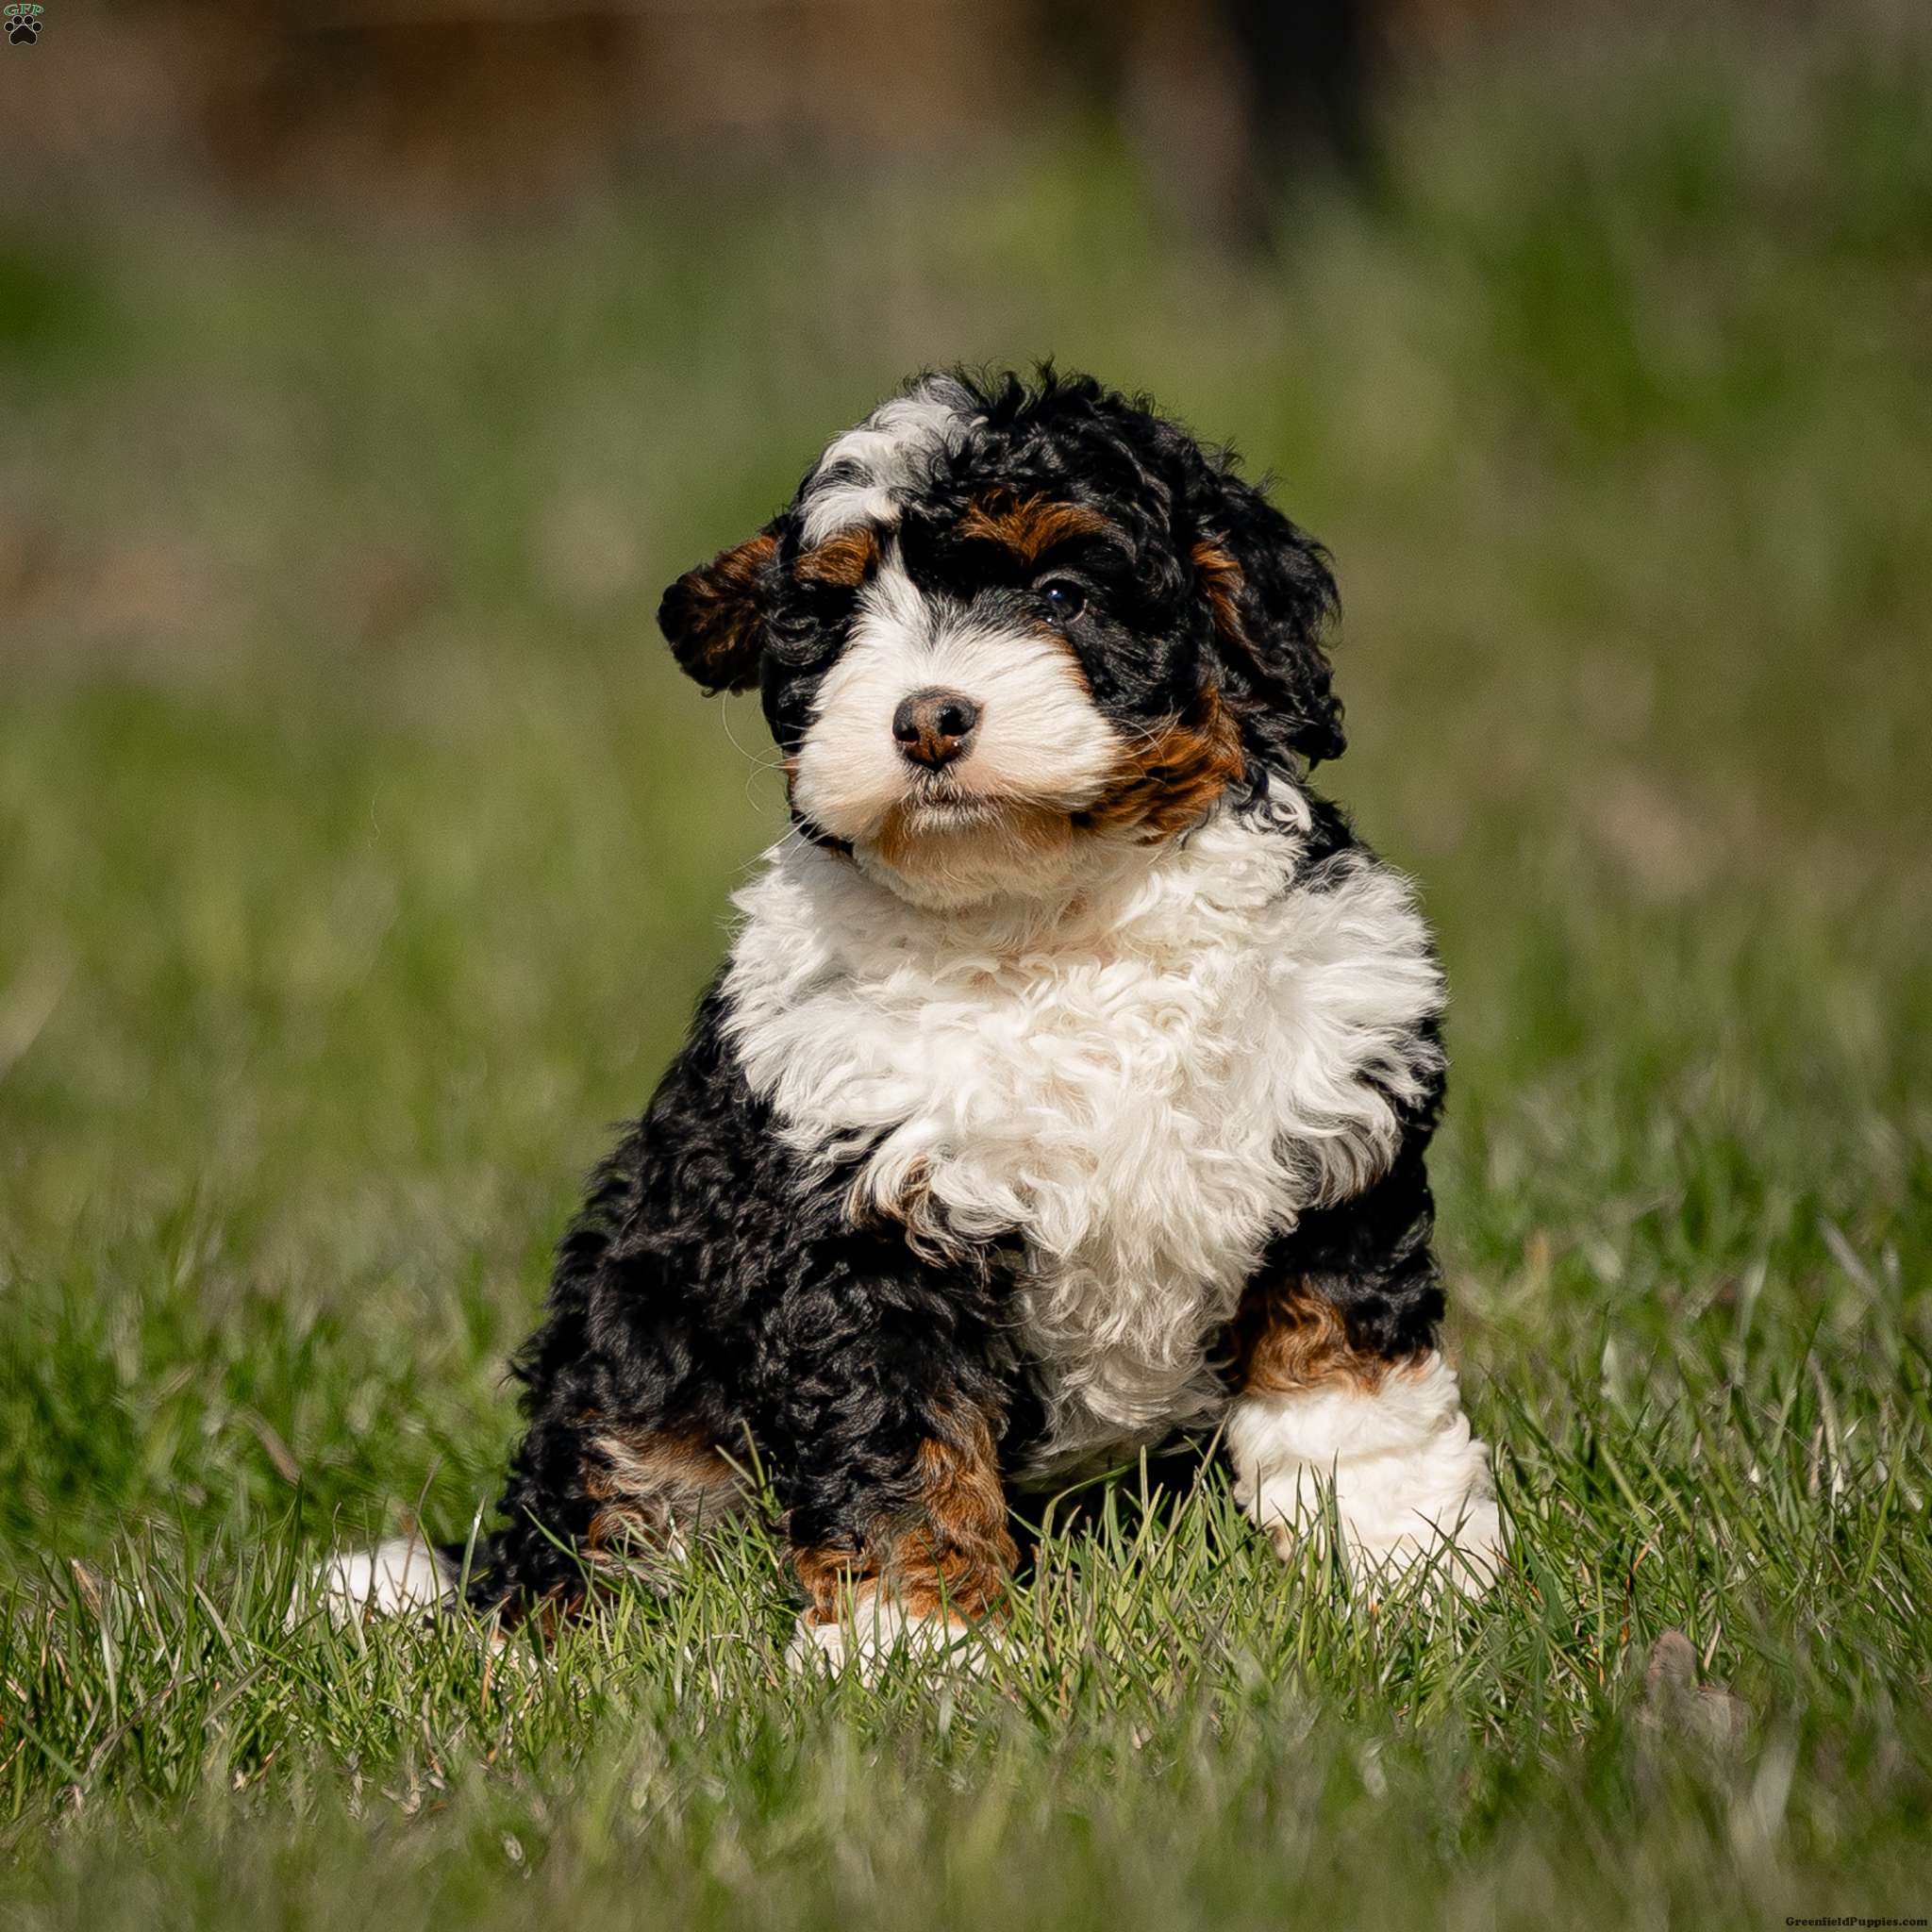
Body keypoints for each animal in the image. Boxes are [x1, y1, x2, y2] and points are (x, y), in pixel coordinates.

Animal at [316, 369, 1499, 1669]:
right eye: (839, 626)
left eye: (1059, 592)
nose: (927, 716)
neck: (1047, 923)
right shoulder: (863, 1223)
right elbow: (901, 1447)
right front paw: (912, 1647)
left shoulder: (1334, 1153)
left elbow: (1346, 1385)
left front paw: (1403, 1560)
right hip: (634, 1346)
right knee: (594, 1501)